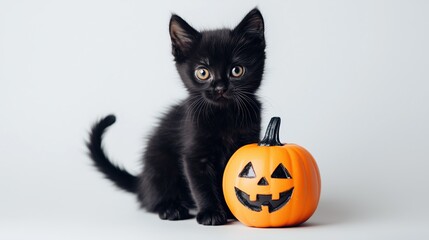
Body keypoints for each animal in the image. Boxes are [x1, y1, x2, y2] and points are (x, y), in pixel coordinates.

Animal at [86, 7, 264, 225]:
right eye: (203, 73)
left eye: (236, 70)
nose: (220, 88)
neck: (223, 116)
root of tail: (142, 181)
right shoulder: (194, 153)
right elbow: (201, 185)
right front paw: (211, 213)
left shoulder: (245, 144)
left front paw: (231, 210)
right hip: (159, 163)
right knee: (155, 198)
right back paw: (171, 208)